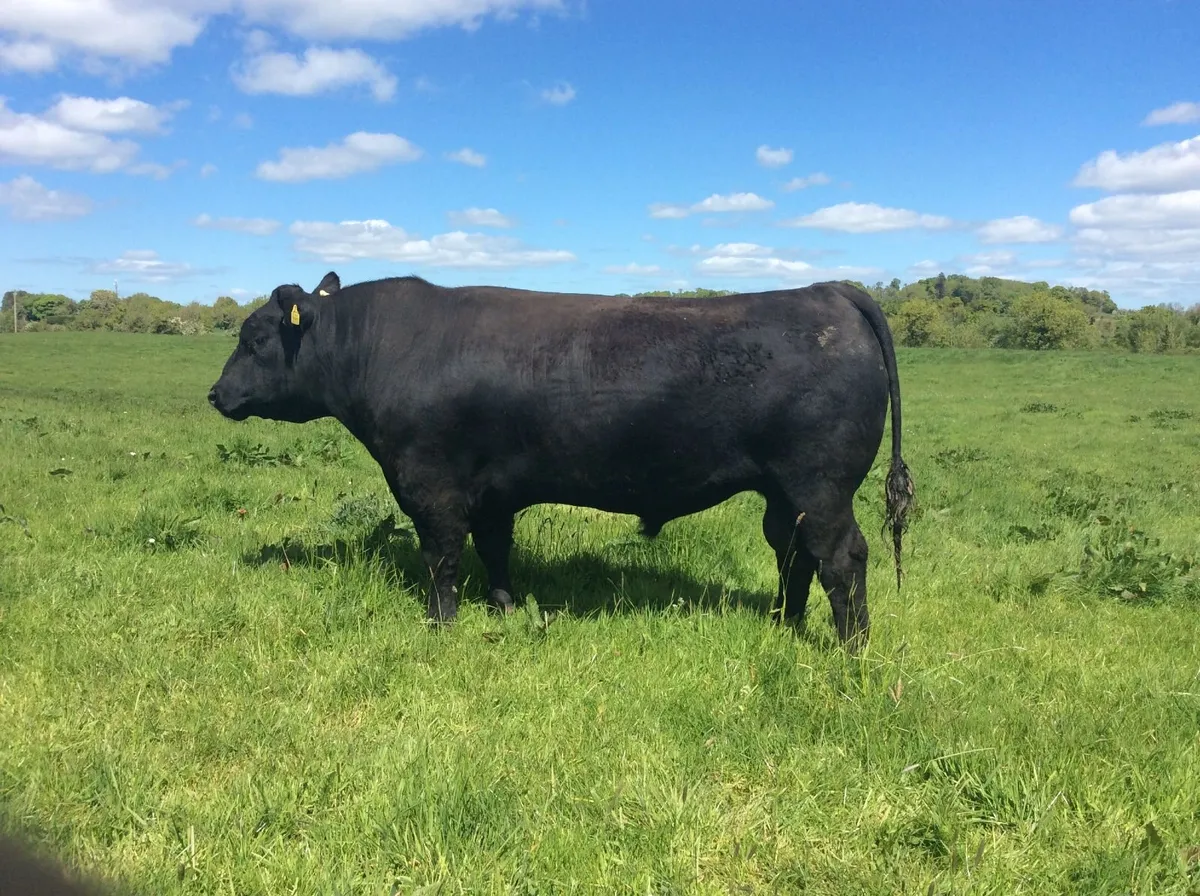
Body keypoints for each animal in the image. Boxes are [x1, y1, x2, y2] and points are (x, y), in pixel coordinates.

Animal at [208, 272, 914, 652]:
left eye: (256, 337)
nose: (216, 394)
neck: (384, 347)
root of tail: (828, 290)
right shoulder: (489, 491)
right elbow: (494, 551)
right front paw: (503, 609)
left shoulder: (430, 485)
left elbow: (441, 557)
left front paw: (440, 626)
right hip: (783, 491)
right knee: (792, 553)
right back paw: (783, 625)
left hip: (820, 484)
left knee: (841, 557)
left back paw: (851, 650)